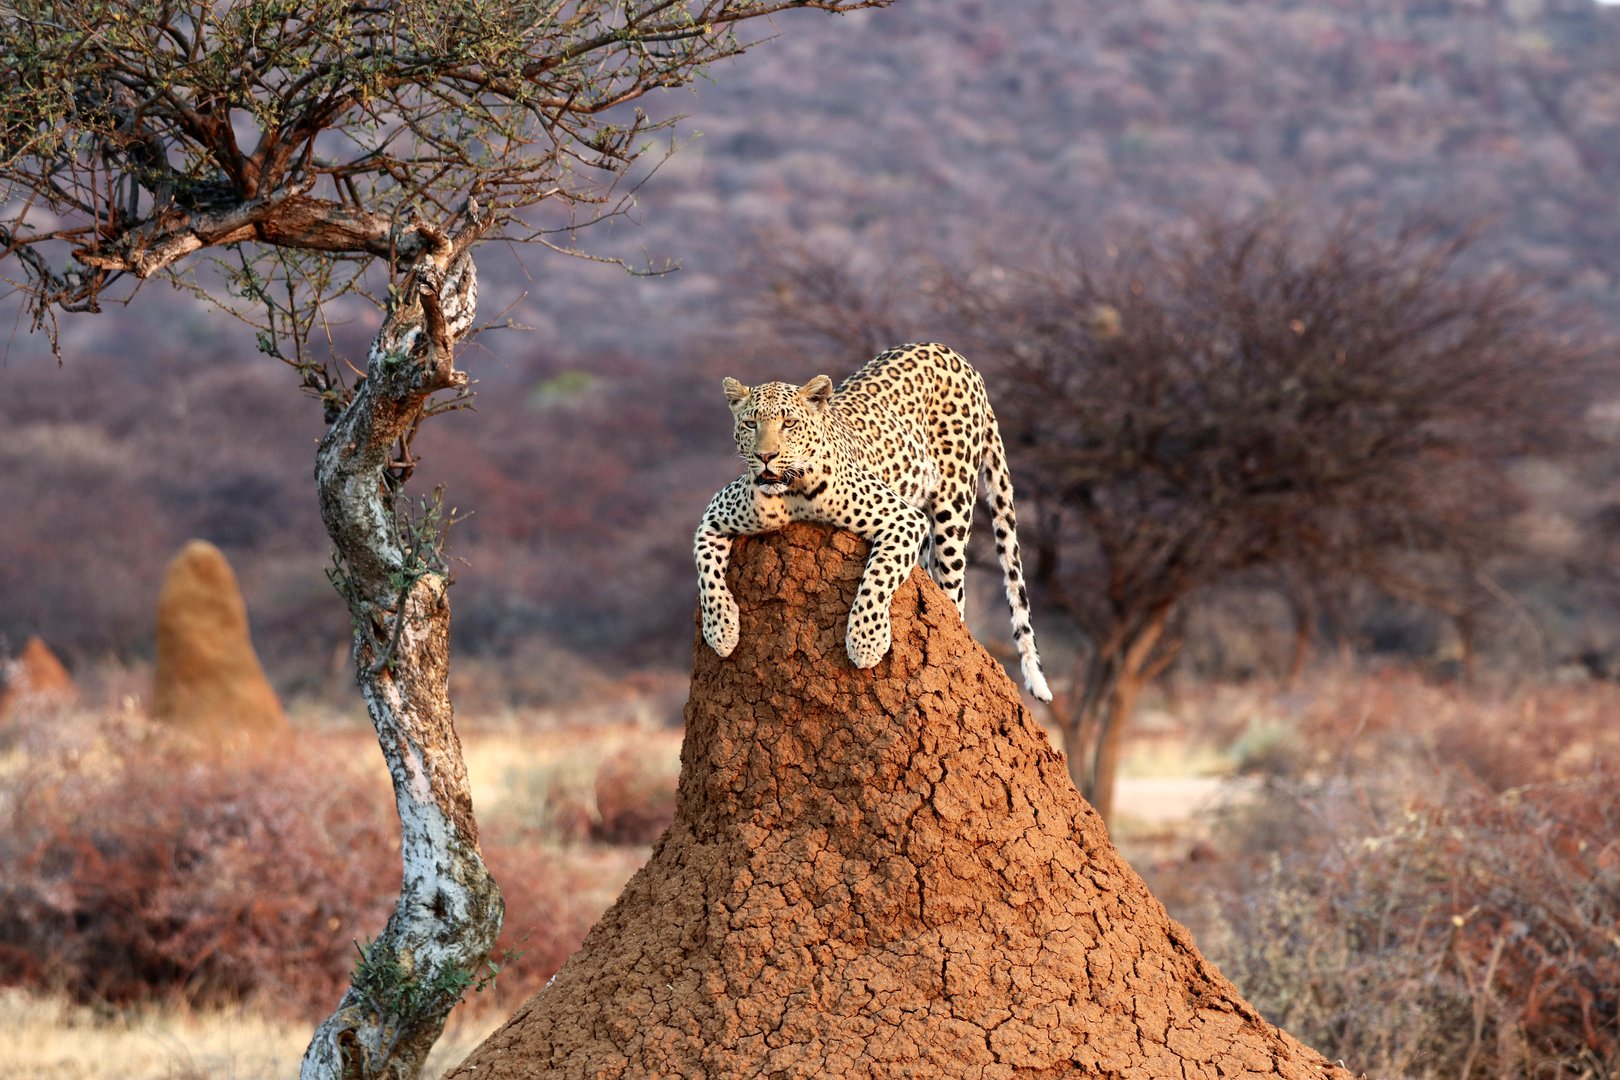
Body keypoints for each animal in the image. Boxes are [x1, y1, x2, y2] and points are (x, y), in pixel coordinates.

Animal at [693, 342, 1052, 702]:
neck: (791, 492)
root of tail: (953, 353)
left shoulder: (904, 519)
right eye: (750, 423)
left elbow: (878, 576)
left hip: (955, 504)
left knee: (955, 593)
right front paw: (721, 631)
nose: (766, 456)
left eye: (789, 423)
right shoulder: (713, 517)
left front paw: (866, 642)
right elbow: (706, 573)